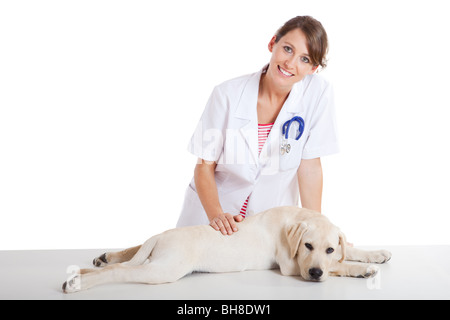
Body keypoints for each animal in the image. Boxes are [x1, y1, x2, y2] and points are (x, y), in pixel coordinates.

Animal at [62, 208, 390, 292]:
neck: (294, 218)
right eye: (307, 246)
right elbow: (341, 267)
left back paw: (82, 271)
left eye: (330, 248)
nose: (315, 273)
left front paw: (375, 255)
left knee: (124, 259)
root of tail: (160, 237)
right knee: (120, 270)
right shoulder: (291, 265)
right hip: (163, 269)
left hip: (152, 260)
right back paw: (77, 283)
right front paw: (363, 270)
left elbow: (350, 251)